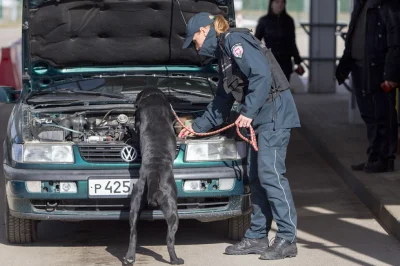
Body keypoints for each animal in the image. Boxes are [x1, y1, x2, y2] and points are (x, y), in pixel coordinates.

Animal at [123, 87, 184, 264]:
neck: (153, 97)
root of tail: (153, 174)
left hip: (135, 203)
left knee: (133, 233)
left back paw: (129, 258)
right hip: (172, 210)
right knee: (169, 239)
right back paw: (176, 260)